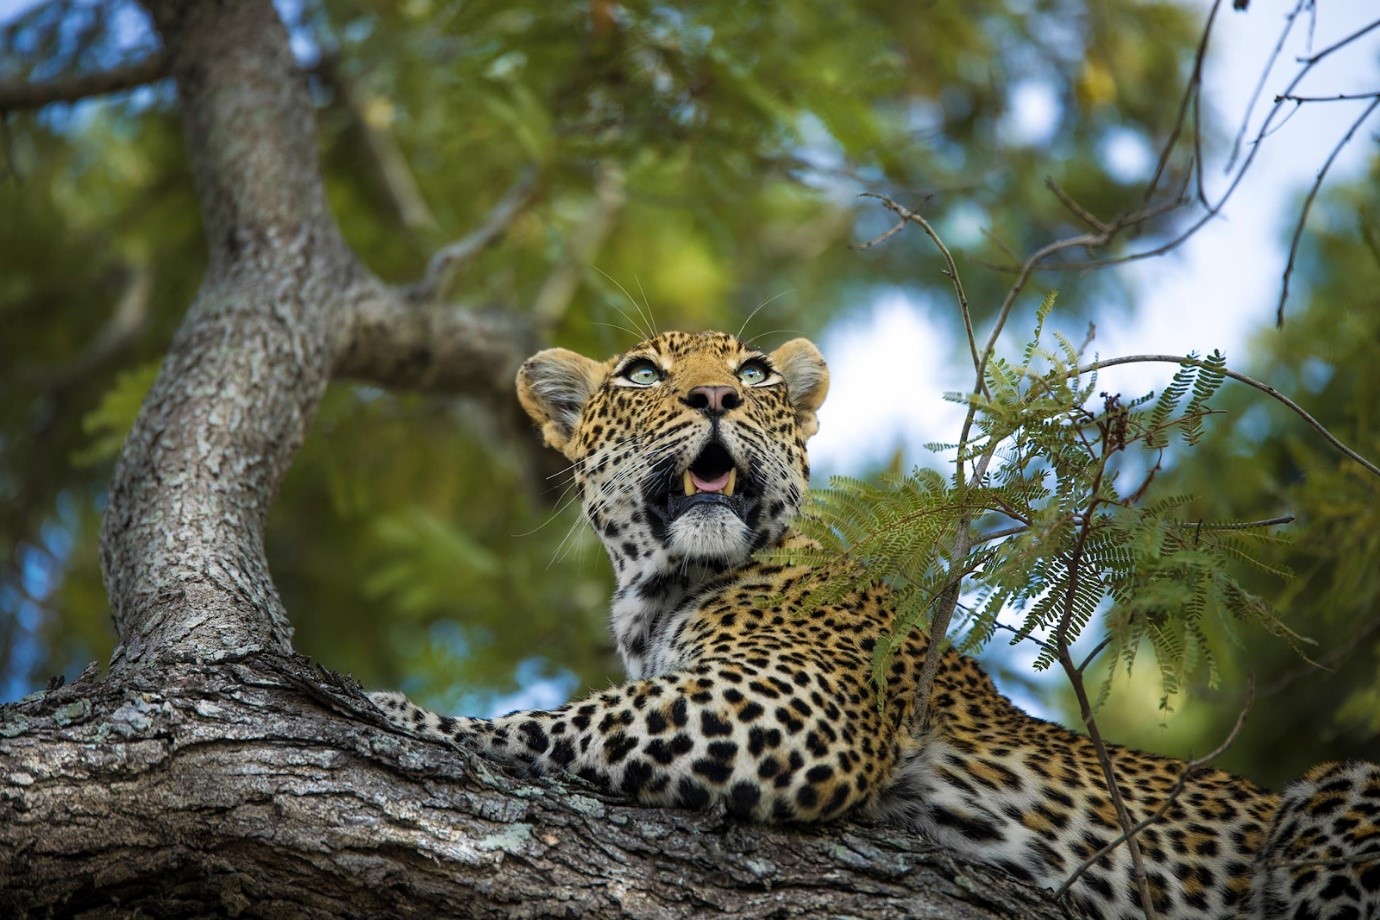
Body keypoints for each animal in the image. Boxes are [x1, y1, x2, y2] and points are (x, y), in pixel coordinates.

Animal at [369, 331, 1380, 920]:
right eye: (644, 374)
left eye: (752, 374)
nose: (715, 399)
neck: (655, 590)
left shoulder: (795, 704)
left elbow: (560, 720)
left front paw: (399, 714)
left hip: (1335, 797)